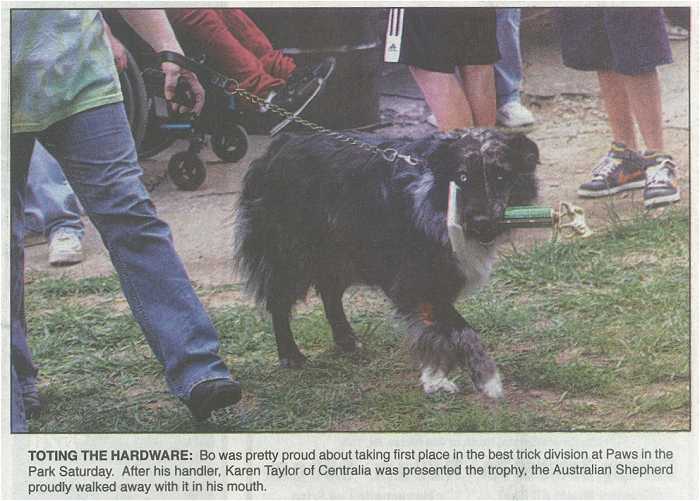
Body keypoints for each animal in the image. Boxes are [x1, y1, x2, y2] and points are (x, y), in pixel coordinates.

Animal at [232, 129, 540, 398]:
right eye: (462, 177)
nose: (480, 223)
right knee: (279, 303)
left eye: (501, 175)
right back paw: (290, 355)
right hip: (291, 255)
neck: (436, 195)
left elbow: (433, 334)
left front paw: (434, 379)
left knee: (330, 293)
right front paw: (487, 378)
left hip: (339, 254)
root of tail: (281, 142)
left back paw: (346, 339)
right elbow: (461, 331)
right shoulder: (416, 282)